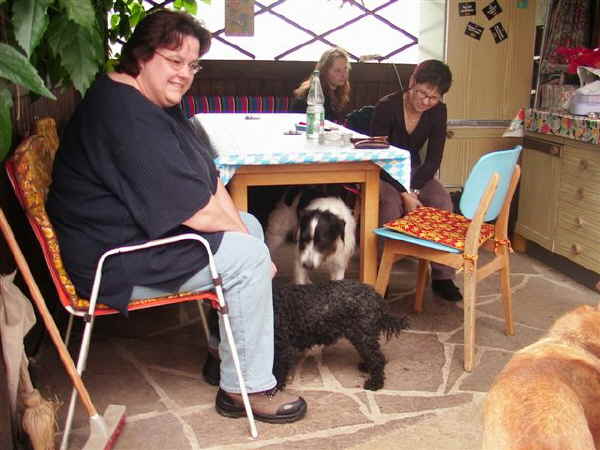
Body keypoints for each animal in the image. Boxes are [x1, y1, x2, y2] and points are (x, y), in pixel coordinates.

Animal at [273, 280, 409, 391]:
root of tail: (375, 295)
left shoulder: (282, 347)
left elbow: (277, 370)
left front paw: (274, 388)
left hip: (363, 336)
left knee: (378, 359)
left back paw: (375, 383)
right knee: (374, 357)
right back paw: (366, 367)